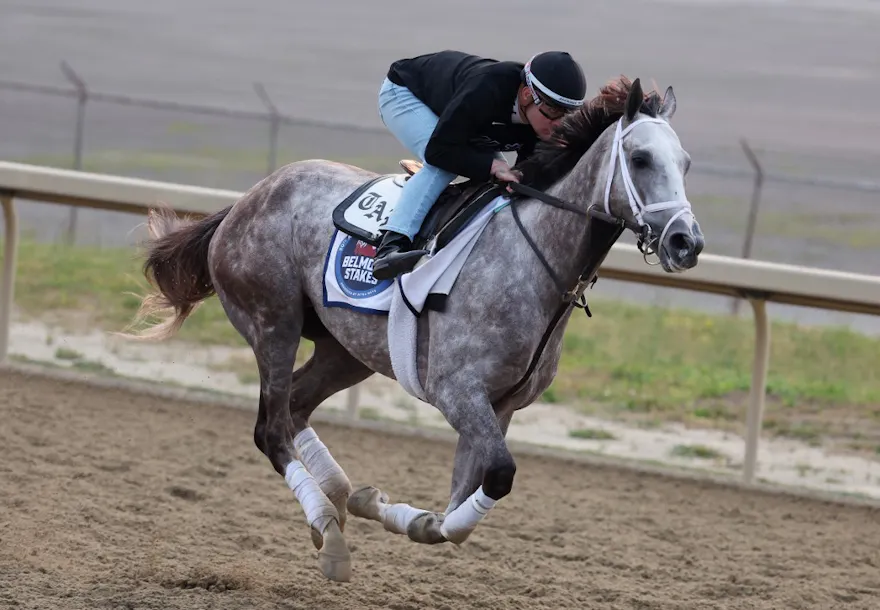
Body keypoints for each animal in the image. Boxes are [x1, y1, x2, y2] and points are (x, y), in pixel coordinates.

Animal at [120, 76, 704, 580]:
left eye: (685, 163)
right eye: (641, 158)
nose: (686, 242)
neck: (534, 262)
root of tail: (243, 201)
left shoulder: (500, 407)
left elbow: (455, 517)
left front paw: (386, 507)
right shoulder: (457, 392)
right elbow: (499, 476)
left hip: (345, 350)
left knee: (296, 408)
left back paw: (341, 495)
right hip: (272, 324)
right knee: (271, 429)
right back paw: (329, 532)